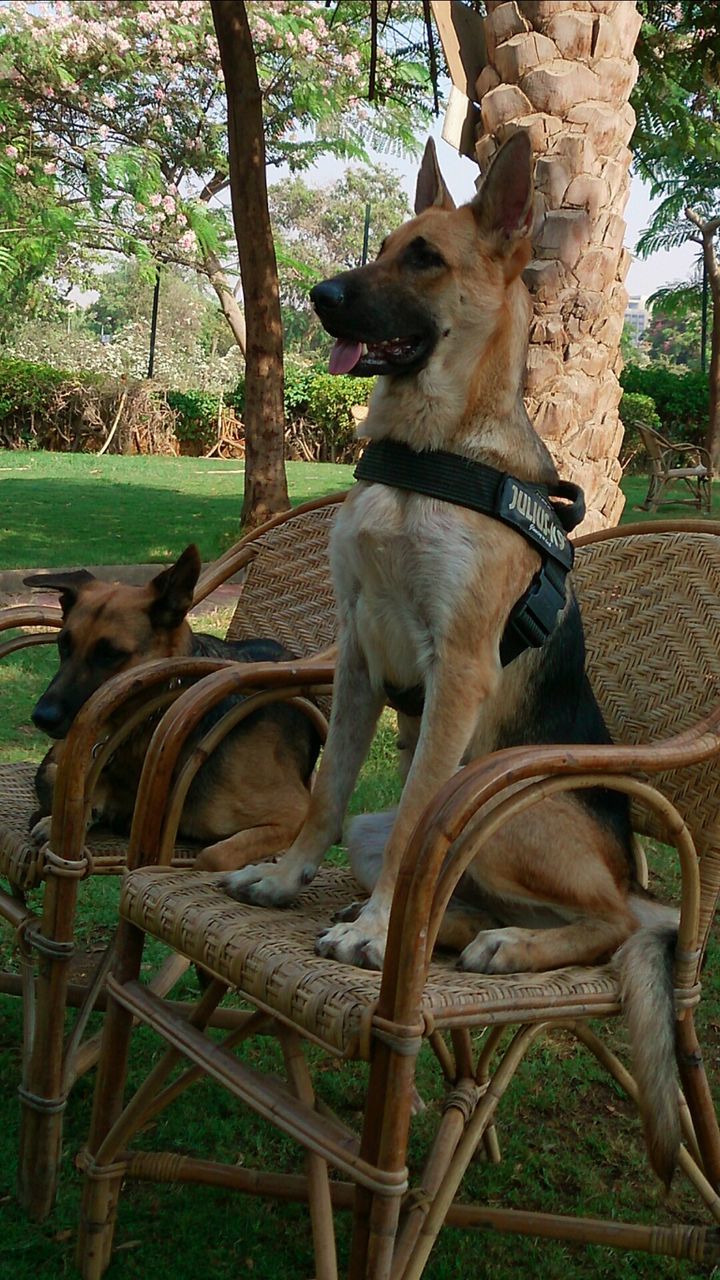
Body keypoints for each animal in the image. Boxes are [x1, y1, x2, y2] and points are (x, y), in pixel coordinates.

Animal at [222, 135, 676, 1182]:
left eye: (425, 259)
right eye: (383, 245)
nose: (320, 295)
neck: (431, 454)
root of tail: (633, 870)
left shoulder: (457, 670)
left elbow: (417, 824)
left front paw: (370, 926)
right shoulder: (355, 652)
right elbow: (324, 790)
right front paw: (288, 880)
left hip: (510, 829)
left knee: (613, 923)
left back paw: (499, 944)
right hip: (395, 833)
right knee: (454, 903)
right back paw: (461, 932)